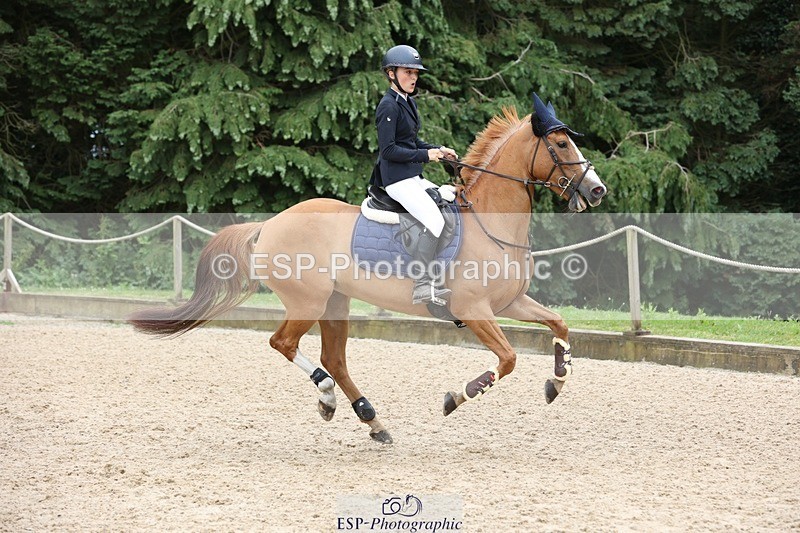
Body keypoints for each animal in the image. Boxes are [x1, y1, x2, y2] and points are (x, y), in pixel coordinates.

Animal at [128, 93, 607, 444]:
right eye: (561, 145)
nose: (597, 190)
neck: (489, 221)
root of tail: (270, 224)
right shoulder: (474, 310)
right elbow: (507, 359)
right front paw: (458, 396)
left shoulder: (510, 302)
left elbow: (559, 324)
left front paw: (557, 381)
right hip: (309, 301)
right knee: (284, 343)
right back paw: (328, 397)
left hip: (335, 302)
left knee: (334, 359)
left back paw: (371, 419)